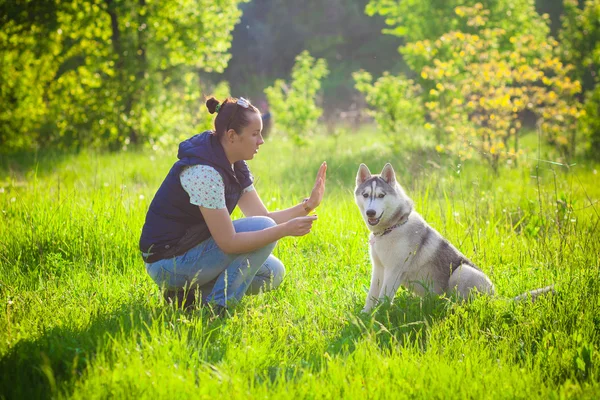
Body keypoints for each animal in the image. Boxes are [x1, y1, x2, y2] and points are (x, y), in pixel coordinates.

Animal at [354, 162, 552, 312]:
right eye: (366, 195)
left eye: (381, 195)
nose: (371, 212)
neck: (392, 227)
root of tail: (496, 297)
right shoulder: (379, 268)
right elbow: (372, 295)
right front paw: (366, 315)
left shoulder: (394, 270)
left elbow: (383, 297)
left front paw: (378, 317)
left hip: (462, 271)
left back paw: (448, 305)